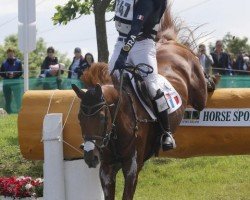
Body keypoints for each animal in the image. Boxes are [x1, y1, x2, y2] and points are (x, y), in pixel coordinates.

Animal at [71, 7, 206, 200]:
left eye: (103, 118)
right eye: (79, 118)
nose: (90, 157)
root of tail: (168, 41)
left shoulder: (132, 167)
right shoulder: (106, 169)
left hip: (199, 92)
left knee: (202, 94)